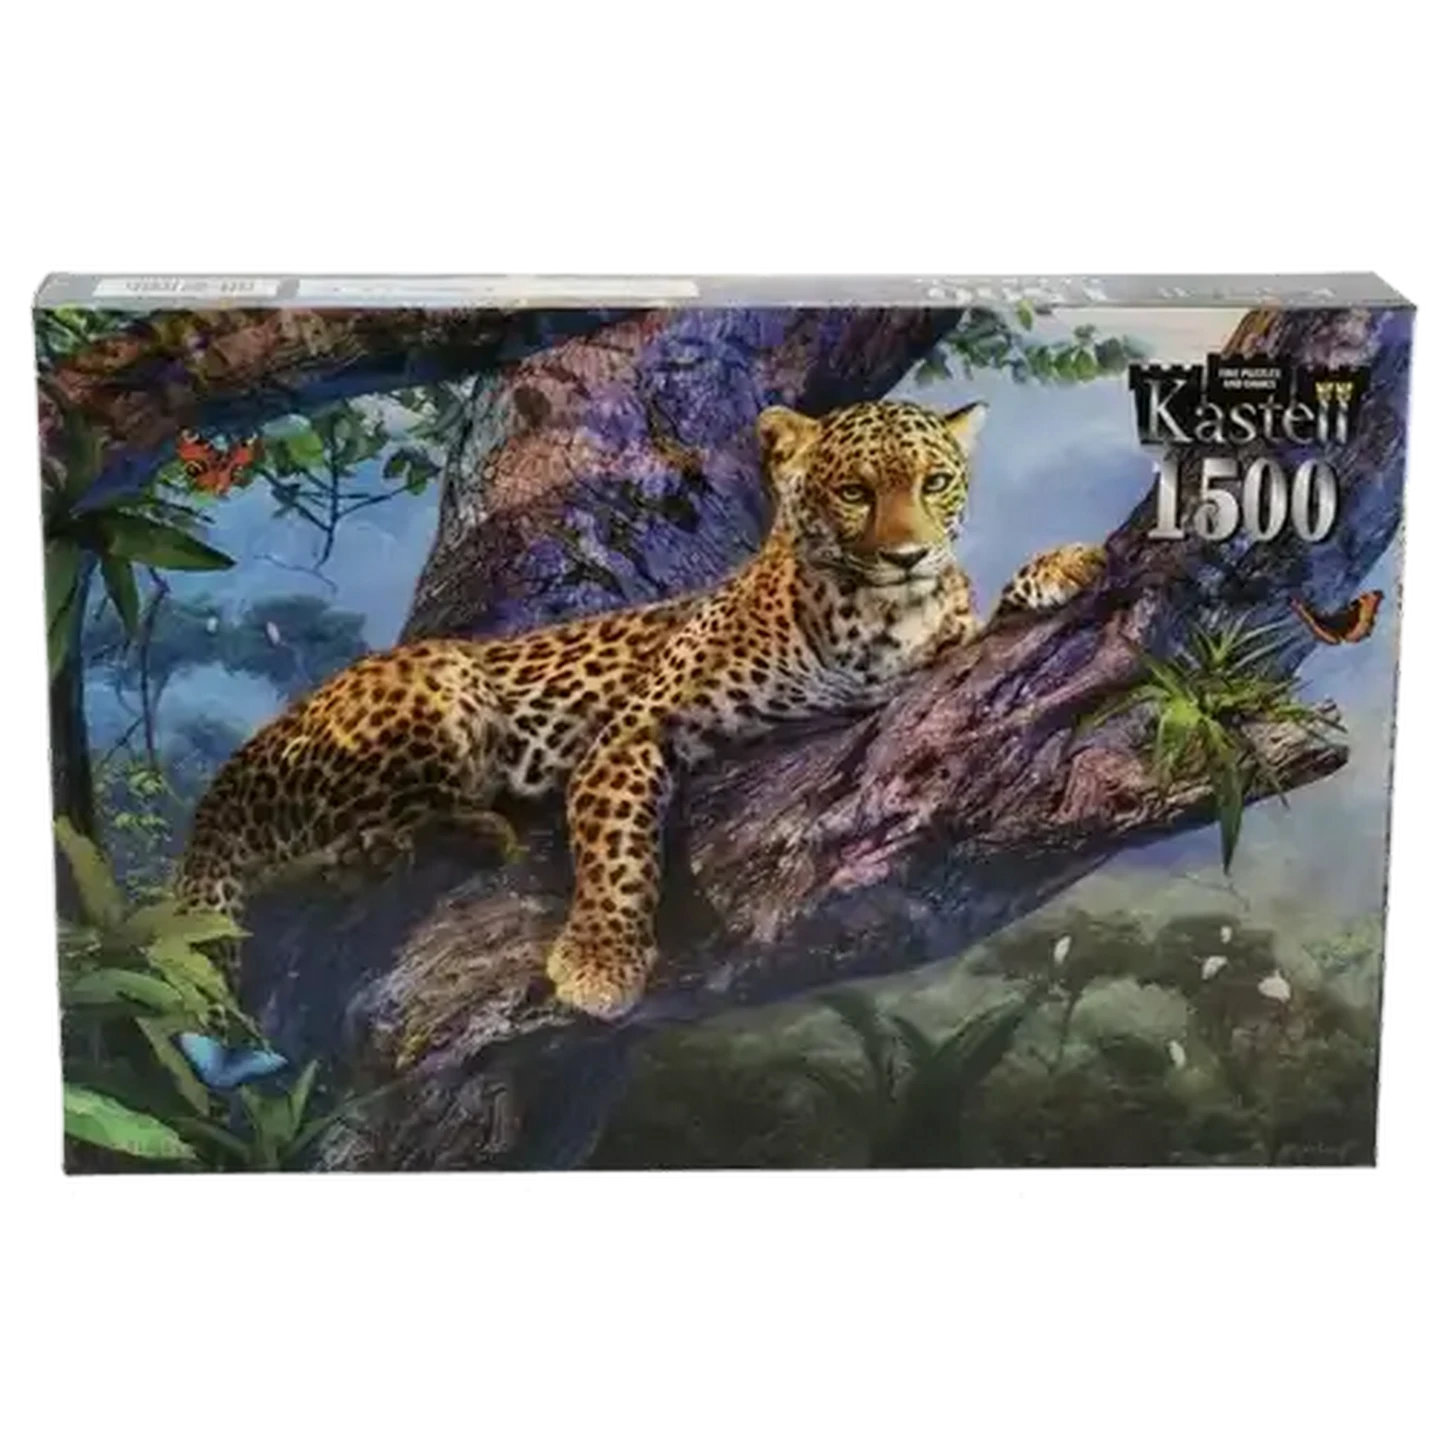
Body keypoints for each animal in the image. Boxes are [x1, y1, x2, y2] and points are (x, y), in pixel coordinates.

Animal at [175, 397, 1107, 1021]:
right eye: (853, 492)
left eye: (936, 482)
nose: (911, 553)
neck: (871, 616)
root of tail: (240, 763)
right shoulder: (636, 729)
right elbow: (618, 851)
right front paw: (599, 963)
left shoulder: (937, 656)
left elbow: (987, 621)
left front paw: (1069, 563)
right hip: (440, 682)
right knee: (330, 844)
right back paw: (466, 831)